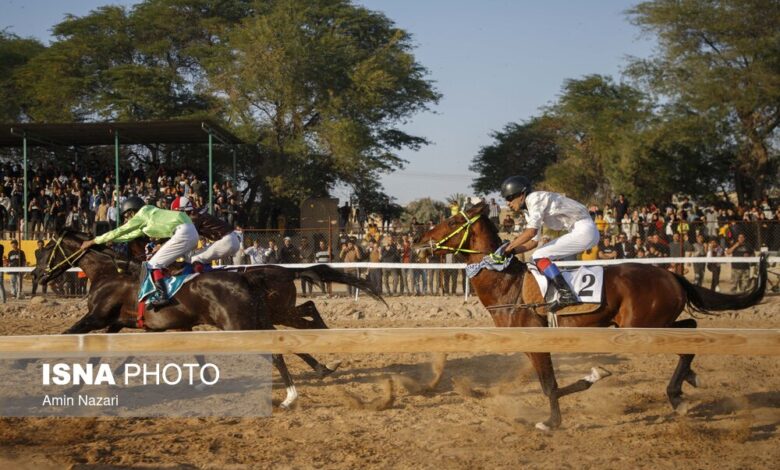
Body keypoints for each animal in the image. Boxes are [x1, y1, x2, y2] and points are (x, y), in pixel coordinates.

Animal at [420, 202, 768, 430]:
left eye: (452, 222)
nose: (421, 242)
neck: (509, 285)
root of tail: (669, 274)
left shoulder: (538, 344)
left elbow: (550, 386)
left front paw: (555, 418)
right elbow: (550, 384)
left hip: (641, 326)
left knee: (689, 330)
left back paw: (677, 392)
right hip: (650, 323)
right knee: (689, 330)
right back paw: (685, 384)